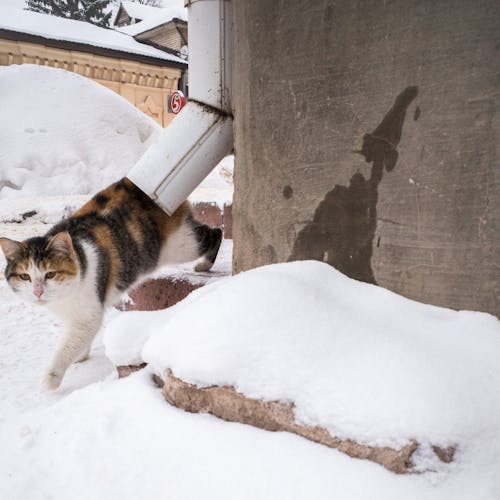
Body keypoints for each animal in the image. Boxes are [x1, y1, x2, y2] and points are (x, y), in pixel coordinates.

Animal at [0, 178, 223, 392]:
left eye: (50, 274)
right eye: (25, 276)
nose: (37, 292)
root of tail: (133, 186)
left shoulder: (88, 314)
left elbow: (66, 347)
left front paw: (51, 378)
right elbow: (78, 339)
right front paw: (81, 355)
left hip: (180, 246)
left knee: (215, 233)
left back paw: (204, 263)